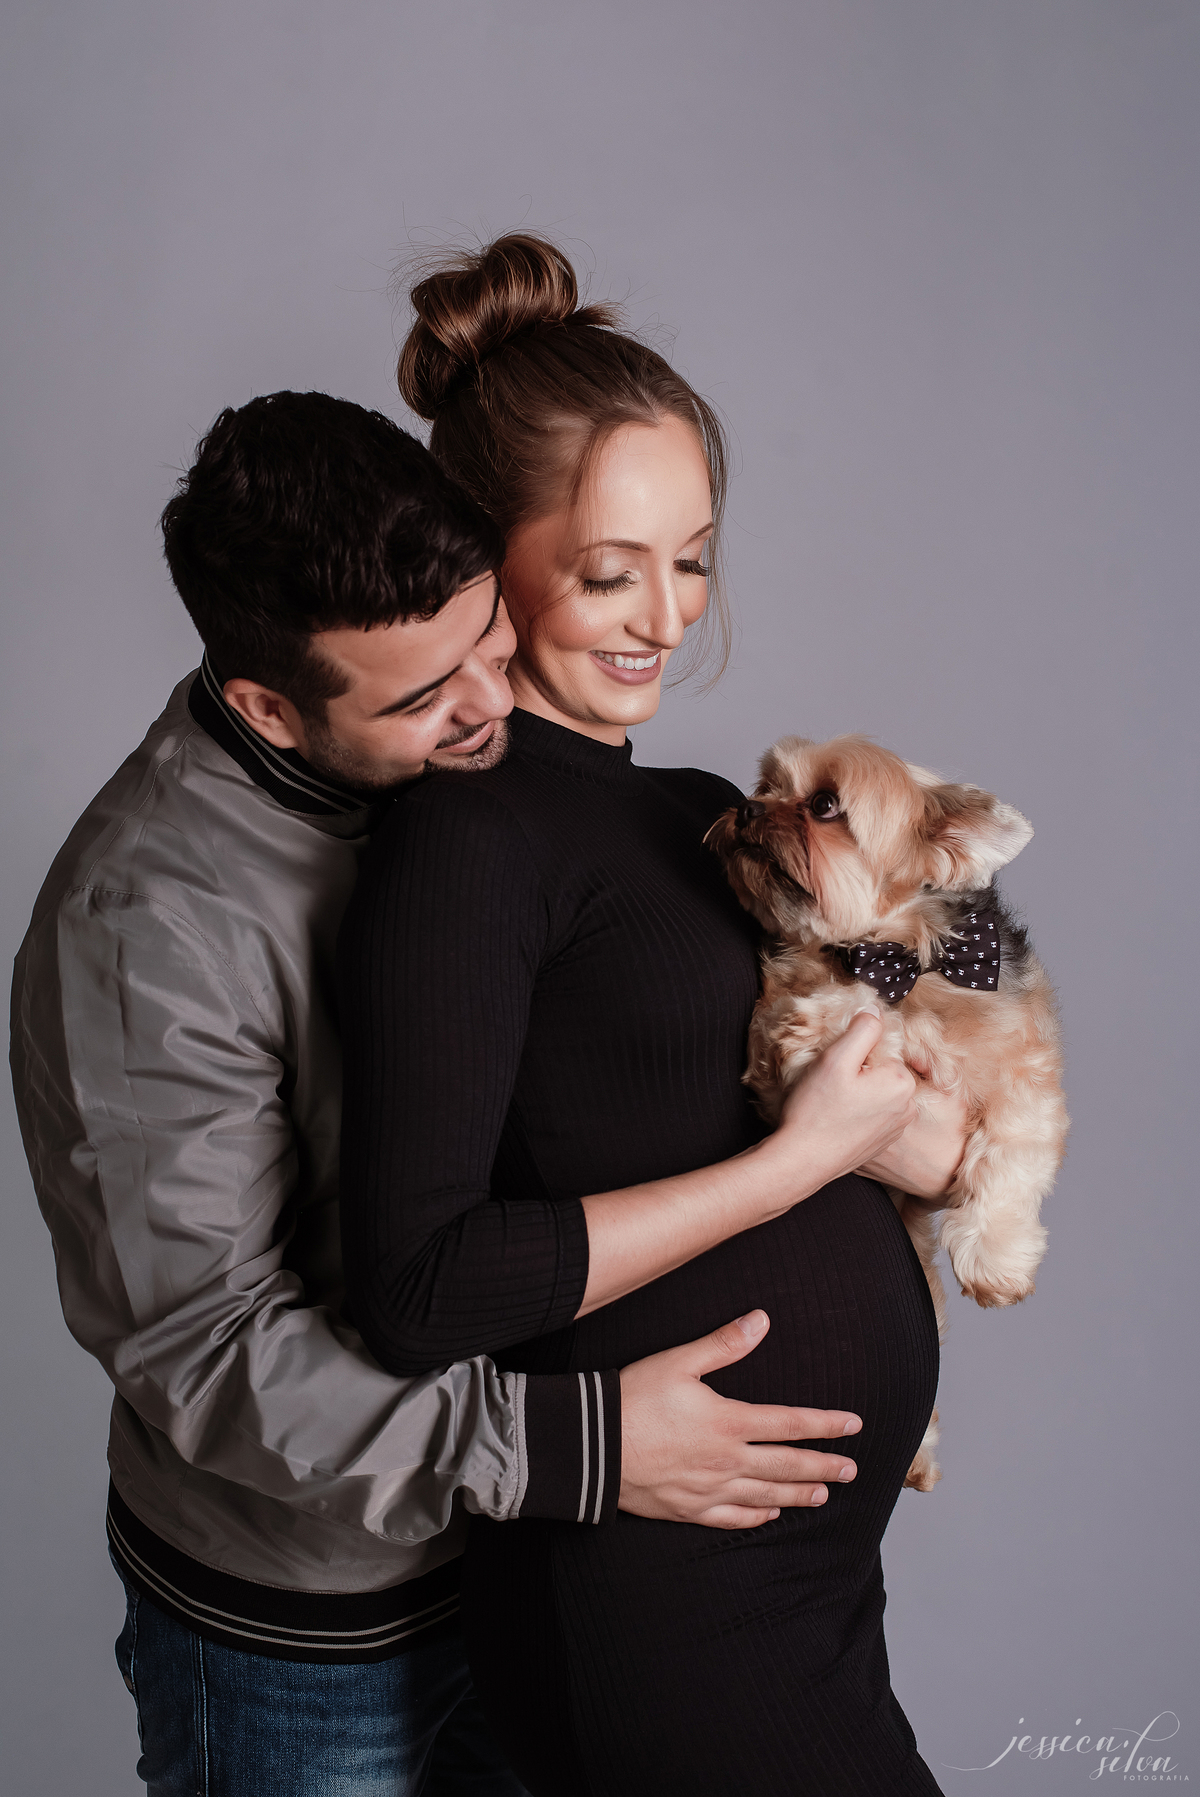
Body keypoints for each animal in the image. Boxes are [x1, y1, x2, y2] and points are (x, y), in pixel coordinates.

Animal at [706, 735, 1068, 1489]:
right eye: (766, 785)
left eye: (823, 805)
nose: (747, 807)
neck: (895, 956)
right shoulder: (771, 1044)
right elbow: (834, 1016)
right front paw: (849, 1017)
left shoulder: (1027, 1073)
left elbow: (1012, 1153)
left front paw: (998, 1260)